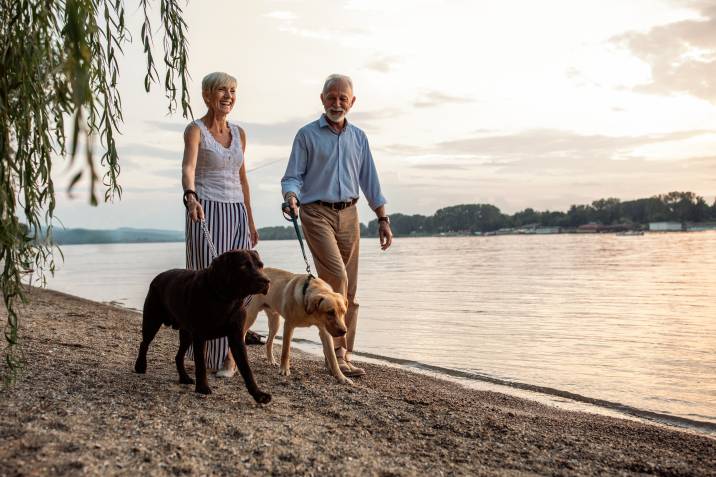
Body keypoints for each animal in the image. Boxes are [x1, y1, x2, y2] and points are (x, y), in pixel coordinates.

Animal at [134, 249, 272, 402]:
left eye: (260, 265)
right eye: (243, 266)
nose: (266, 281)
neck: (225, 299)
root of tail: (158, 277)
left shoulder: (236, 337)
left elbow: (246, 369)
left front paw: (258, 394)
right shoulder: (200, 336)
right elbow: (200, 364)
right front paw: (202, 388)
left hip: (187, 334)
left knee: (178, 356)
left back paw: (184, 377)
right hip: (152, 321)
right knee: (144, 343)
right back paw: (140, 365)